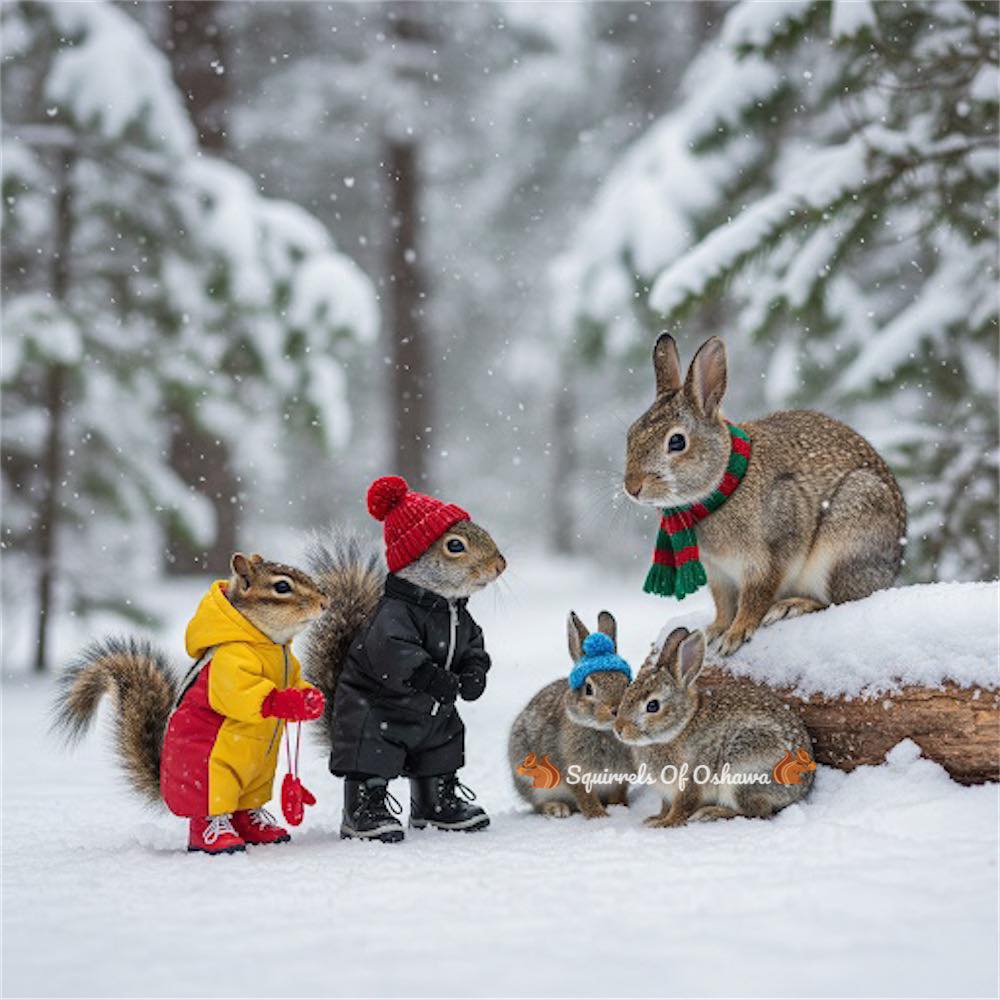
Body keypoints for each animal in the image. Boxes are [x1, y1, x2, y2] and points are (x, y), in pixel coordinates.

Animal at [53, 553, 330, 854]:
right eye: (282, 587)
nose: (325, 602)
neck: (272, 644)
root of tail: (166, 786)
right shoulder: (228, 667)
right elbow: (242, 695)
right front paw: (290, 701)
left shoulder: (291, 667)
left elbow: (297, 681)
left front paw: (311, 699)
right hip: (211, 776)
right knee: (208, 810)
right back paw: (218, 839)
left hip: (260, 777)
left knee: (244, 805)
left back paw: (260, 829)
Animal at [508, 611, 635, 819]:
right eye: (589, 688)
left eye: (627, 683)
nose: (617, 709)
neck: (604, 731)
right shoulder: (573, 773)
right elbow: (585, 796)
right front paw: (598, 815)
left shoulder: (621, 778)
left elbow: (618, 792)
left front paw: (620, 808)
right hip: (531, 781)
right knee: (537, 805)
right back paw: (556, 809)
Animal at [614, 626, 814, 827]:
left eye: (653, 706)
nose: (619, 729)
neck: (679, 728)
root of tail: (802, 787)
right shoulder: (667, 792)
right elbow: (665, 806)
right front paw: (655, 818)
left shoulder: (691, 780)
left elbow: (683, 806)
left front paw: (665, 823)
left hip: (741, 773)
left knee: (757, 812)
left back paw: (710, 813)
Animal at [624, 334, 906, 655]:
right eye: (631, 434)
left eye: (676, 442)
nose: (632, 487)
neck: (724, 485)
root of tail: (892, 572)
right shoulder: (718, 574)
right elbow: (723, 605)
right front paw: (713, 632)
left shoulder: (769, 556)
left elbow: (755, 597)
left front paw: (734, 636)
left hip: (843, 542)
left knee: (836, 601)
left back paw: (791, 606)